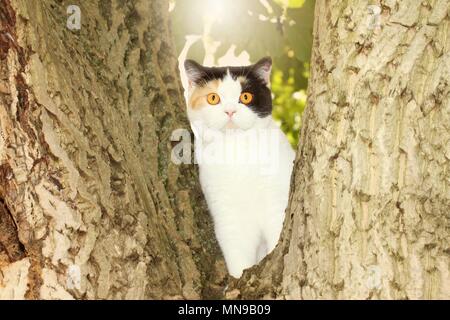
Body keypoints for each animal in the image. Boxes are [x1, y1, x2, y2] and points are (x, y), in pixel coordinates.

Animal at [184, 57, 296, 278]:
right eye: (213, 98)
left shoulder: (277, 201)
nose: (230, 111)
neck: (238, 154)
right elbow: (237, 256)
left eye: (245, 96)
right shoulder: (228, 216)